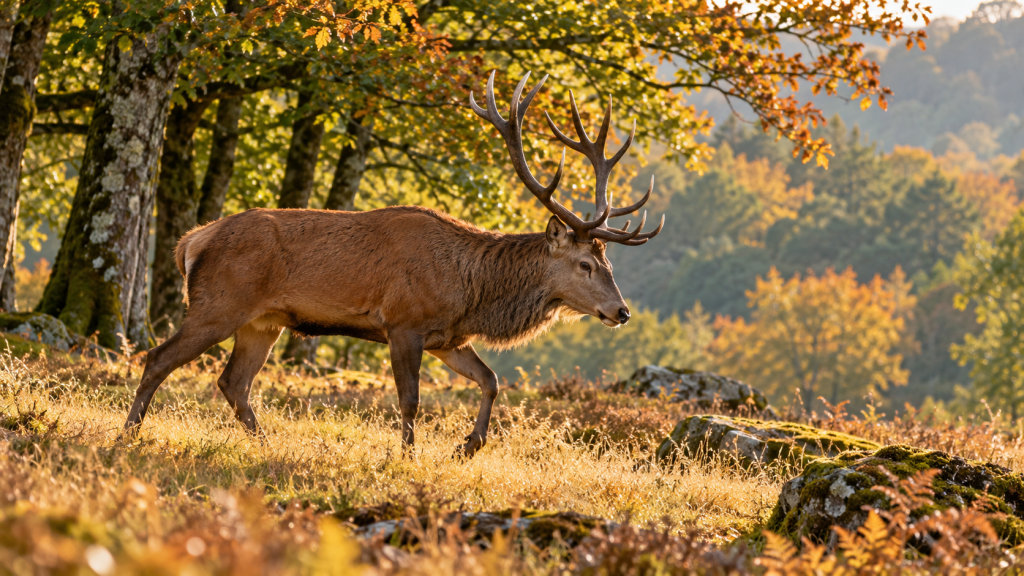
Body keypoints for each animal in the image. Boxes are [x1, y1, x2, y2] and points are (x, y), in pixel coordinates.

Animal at [119, 71, 664, 457]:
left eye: (608, 261)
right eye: (585, 264)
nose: (621, 312)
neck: (472, 291)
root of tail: (192, 241)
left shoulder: (448, 337)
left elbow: (491, 379)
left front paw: (469, 446)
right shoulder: (404, 323)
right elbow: (411, 399)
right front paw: (408, 456)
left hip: (263, 322)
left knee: (234, 382)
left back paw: (265, 443)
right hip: (219, 303)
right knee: (158, 357)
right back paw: (129, 433)